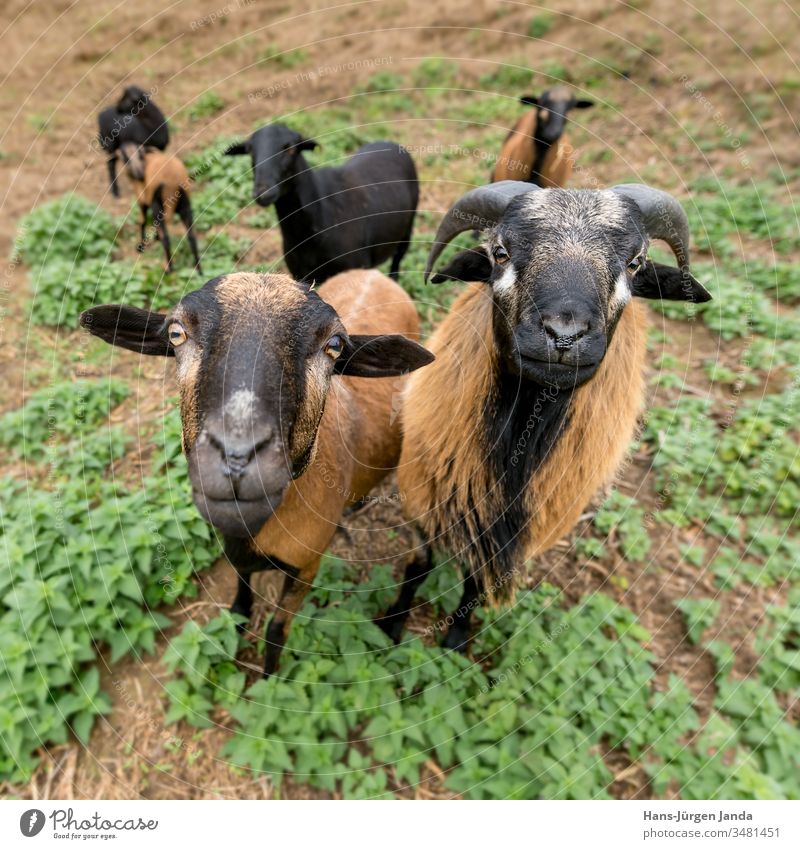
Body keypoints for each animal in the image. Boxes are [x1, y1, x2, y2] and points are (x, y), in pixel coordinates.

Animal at [222, 123, 416, 282]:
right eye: (249, 150)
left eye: (291, 149)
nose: (263, 192)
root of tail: (387, 142)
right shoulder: (301, 273)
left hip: (406, 229)